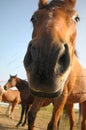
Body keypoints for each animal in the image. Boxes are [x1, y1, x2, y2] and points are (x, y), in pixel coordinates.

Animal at [23, 0, 86, 130]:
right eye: (33, 18)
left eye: (77, 18)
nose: (44, 61)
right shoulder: (40, 93)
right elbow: (31, 116)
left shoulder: (62, 97)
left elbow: (52, 125)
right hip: (70, 103)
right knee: (72, 121)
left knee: (83, 123)